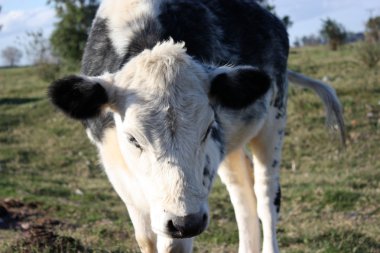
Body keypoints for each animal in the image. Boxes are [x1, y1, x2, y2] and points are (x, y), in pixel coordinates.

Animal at [47, 0, 344, 252]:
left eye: (207, 129)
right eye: (132, 139)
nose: (185, 221)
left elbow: (172, 245)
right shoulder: (120, 174)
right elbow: (146, 239)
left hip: (273, 121)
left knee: (266, 197)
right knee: (242, 193)